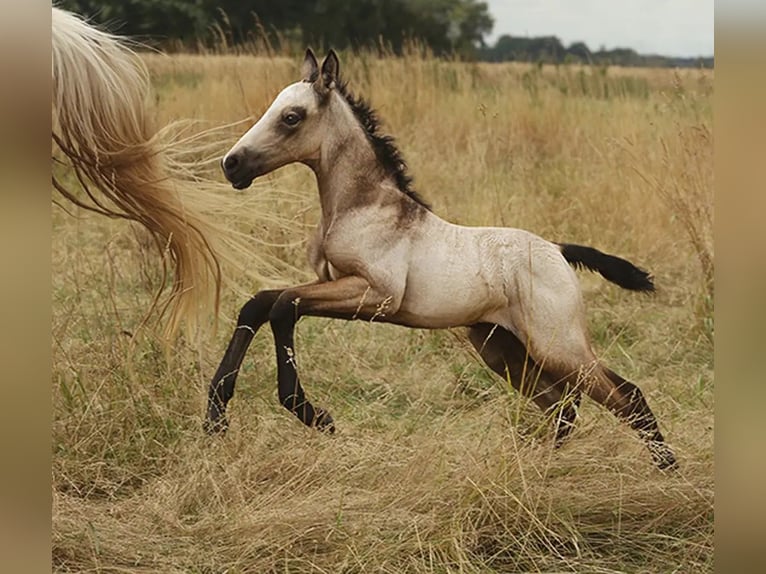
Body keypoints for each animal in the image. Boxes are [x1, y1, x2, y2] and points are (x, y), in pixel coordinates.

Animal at [207, 48, 677, 470]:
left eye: (292, 116)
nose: (232, 164)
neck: (360, 206)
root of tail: (557, 250)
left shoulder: (375, 295)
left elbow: (283, 305)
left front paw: (313, 414)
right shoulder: (330, 284)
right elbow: (260, 302)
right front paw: (215, 413)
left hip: (557, 346)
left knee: (625, 396)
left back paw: (667, 470)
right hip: (500, 348)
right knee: (562, 404)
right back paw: (541, 467)